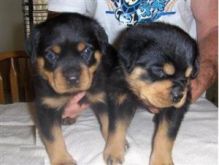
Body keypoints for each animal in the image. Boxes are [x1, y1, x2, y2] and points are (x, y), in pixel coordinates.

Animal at [25, 13, 116, 165]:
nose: (72, 78)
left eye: (86, 51)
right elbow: (54, 138)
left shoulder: (102, 97)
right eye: (51, 55)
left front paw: (114, 146)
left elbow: (108, 123)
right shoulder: (46, 108)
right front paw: (63, 160)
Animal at [103, 22, 199, 164]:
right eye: (159, 71)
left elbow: (165, 135)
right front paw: (114, 152)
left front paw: (161, 160)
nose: (179, 96)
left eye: (188, 77)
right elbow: (116, 127)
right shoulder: (119, 97)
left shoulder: (175, 110)